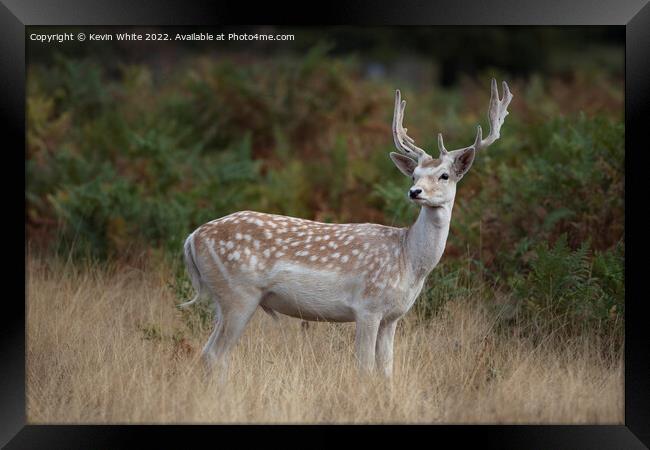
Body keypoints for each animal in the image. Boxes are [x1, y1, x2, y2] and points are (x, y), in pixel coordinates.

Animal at [178, 79, 512, 378]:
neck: (408, 260)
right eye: (414, 174)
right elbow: (364, 368)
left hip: (225, 300)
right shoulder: (367, 307)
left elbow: (386, 370)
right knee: (215, 354)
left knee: (209, 352)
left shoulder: (393, 317)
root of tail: (192, 238)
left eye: (444, 175)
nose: (414, 192)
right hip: (238, 294)